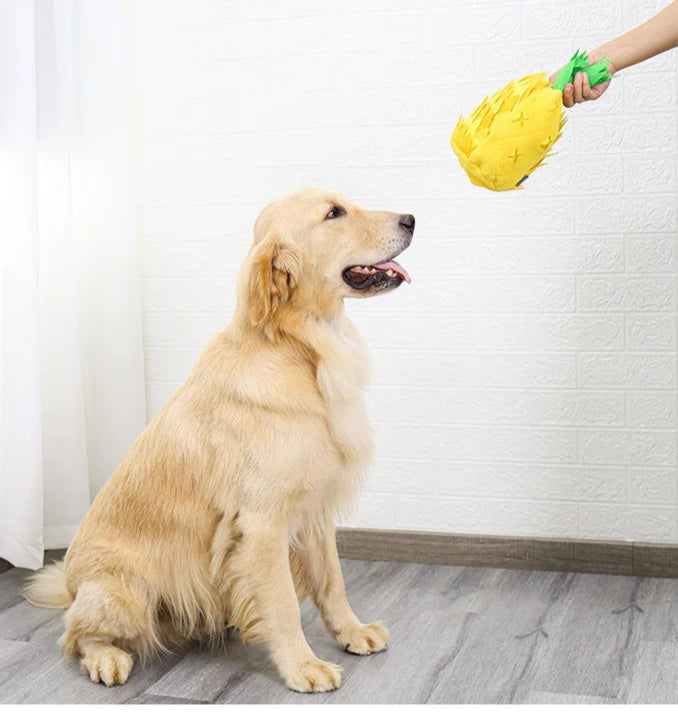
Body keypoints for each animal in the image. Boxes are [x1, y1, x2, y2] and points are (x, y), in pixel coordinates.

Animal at [25, 186, 414, 692]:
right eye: (334, 214)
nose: (411, 219)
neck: (302, 349)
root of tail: (72, 585)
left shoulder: (315, 510)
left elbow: (333, 581)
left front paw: (352, 631)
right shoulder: (262, 523)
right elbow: (283, 604)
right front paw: (303, 665)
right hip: (124, 591)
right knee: (75, 634)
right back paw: (106, 658)